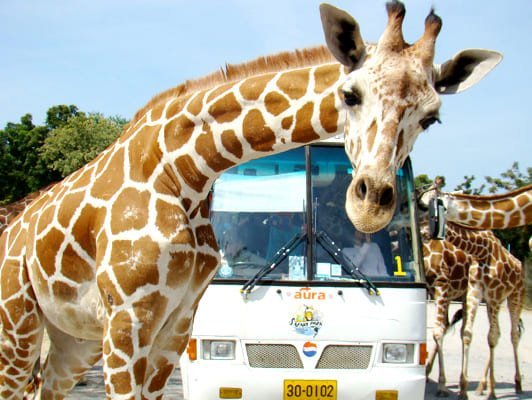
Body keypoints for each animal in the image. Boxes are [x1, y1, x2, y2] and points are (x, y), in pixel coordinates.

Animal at [0, 3, 502, 400]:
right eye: (350, 94)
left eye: (432, 117)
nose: (370, 205)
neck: (183, 171)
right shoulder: (127, 318)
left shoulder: (175, 323)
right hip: (18, 324)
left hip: (73, 339)